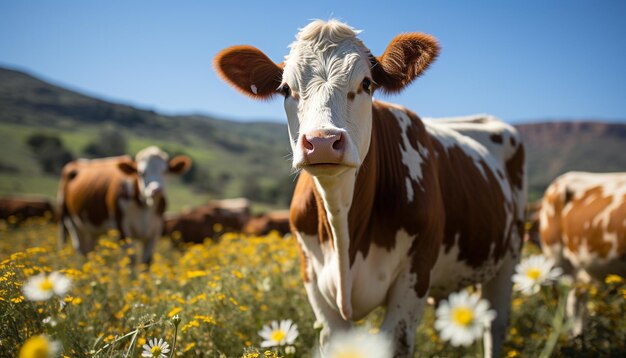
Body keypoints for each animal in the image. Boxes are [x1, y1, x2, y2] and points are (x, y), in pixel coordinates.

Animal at [58, 145, 190, 266]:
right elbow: (131, 259)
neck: (145, 206)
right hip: (69, 220)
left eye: (165, 171)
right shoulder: (122, 228)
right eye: (141, 172)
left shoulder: (154, 231)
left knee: (89, 250)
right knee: (80, 249)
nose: (156, 190)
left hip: (91, 228)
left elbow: (146, 262)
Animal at [212, 20, 524, 358]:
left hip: (509, 258)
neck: (342, 223)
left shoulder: (414, 275)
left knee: (495, 325)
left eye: (366, 84)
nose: (322, 141)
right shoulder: (314, 283)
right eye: (285, 89)